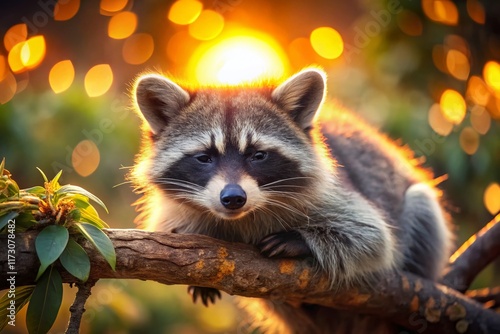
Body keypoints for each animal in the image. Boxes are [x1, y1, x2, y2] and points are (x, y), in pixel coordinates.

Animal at [130, 69, 454, 332]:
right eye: (204, 158)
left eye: (258, 155)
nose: (233, 198)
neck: (243, 217)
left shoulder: (336, 192)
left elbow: (372, 238)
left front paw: (300, 239)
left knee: (421, 204)